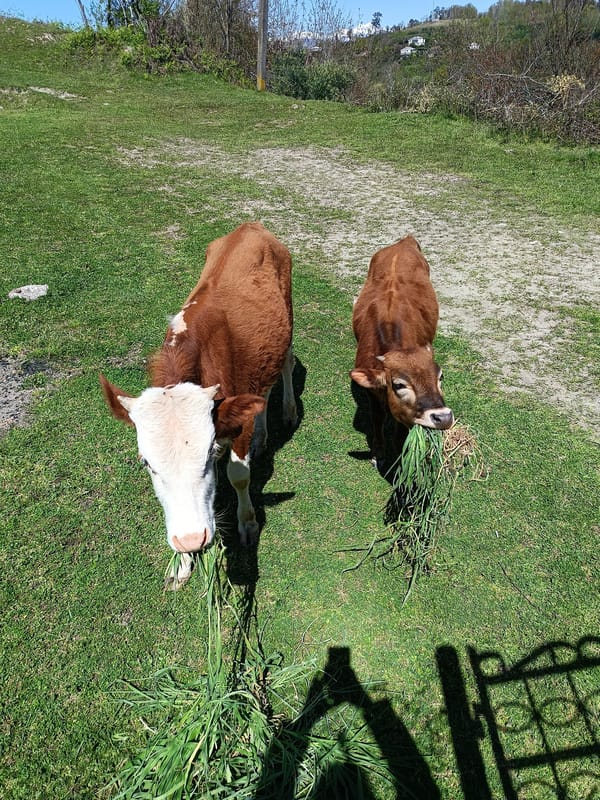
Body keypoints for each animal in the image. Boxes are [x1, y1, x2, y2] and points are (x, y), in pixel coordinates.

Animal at [100, 222, 297, 589]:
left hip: (288, 318)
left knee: (286, 365)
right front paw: (182, 564)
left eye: (208, 454)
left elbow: (239, 475)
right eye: (146, 463)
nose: (192, 539)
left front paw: (247, 523)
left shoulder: (234, 423)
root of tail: (251, 226)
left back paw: (288, 413)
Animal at [350, 235, 453, 470]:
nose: (443, 418)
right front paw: (378, 454)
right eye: (399, 385)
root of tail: (404, 242)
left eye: (440, 377)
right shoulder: (372, 392)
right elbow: (377, 419)